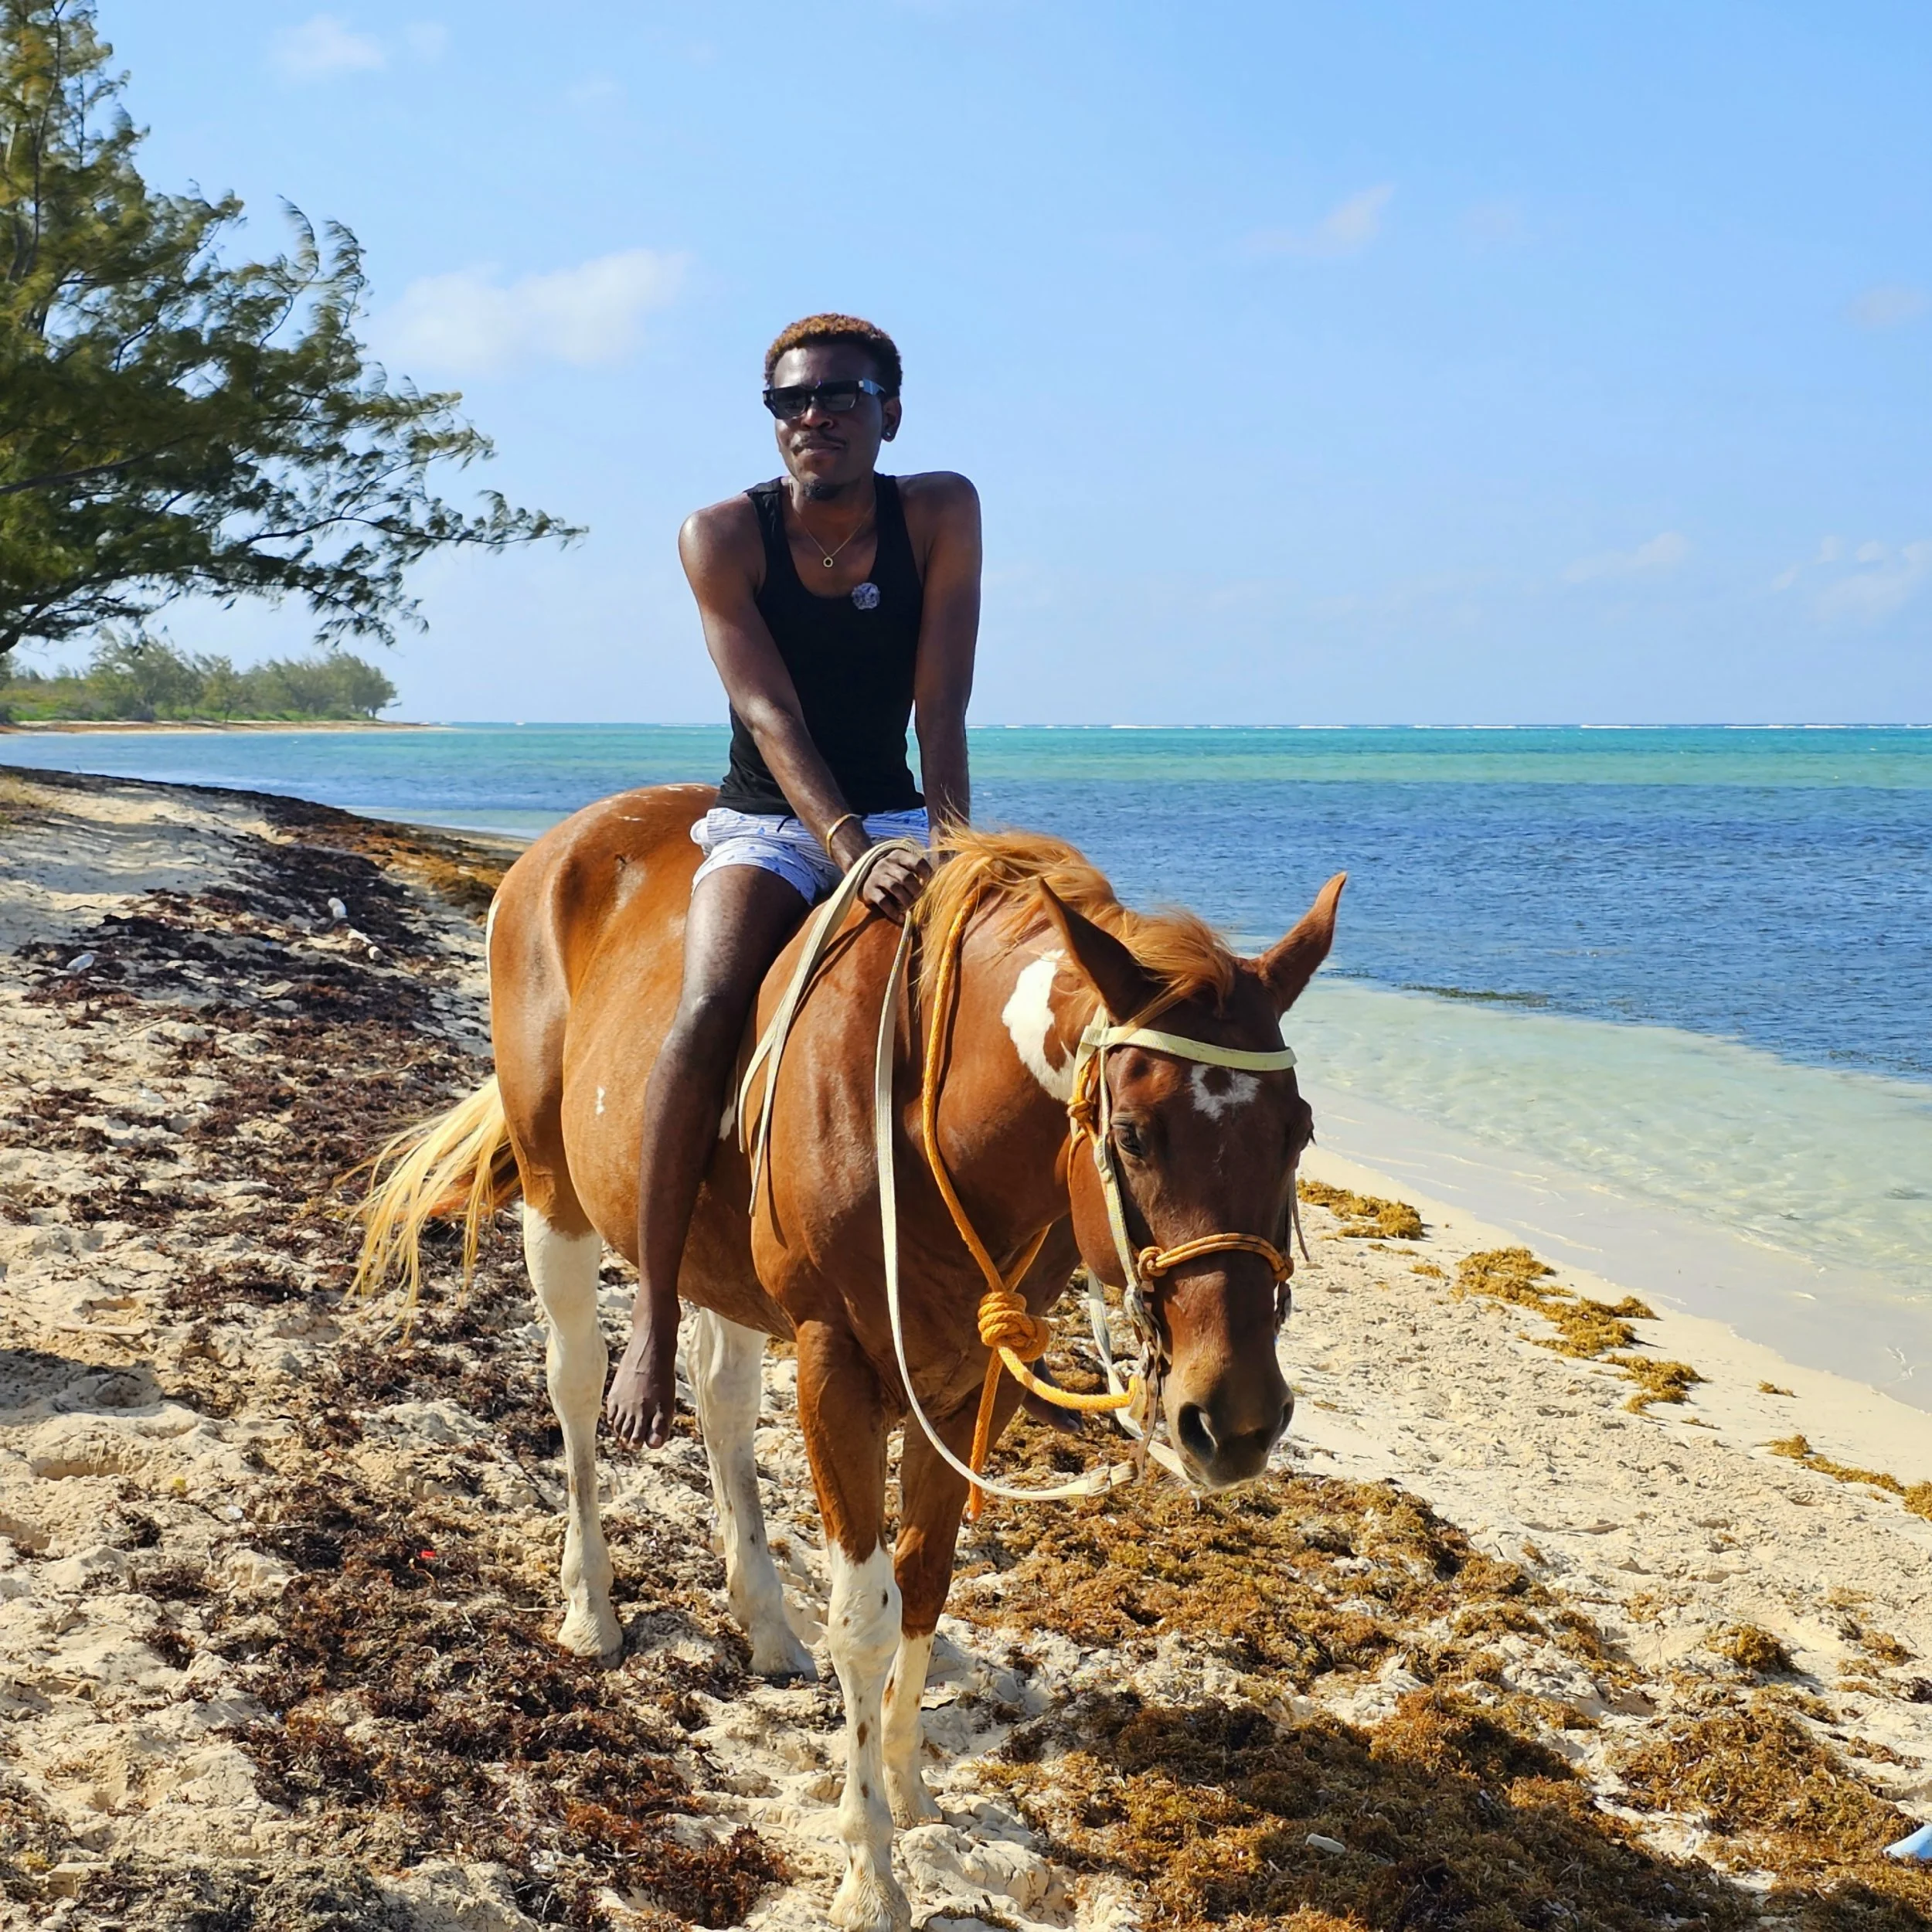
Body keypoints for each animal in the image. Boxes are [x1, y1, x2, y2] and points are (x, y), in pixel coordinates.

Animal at [356, 783, 1343, 1932]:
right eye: (1135, 1134)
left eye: (1299, 1133)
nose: (1234, 1419)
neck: (933, 1116)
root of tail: (556, 849)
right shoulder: (838, 1369)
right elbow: (865, 1620)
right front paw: (870, 1868)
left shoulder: (968, 1385)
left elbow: (925, 1582)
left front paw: (910, 1789)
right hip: (556, 1196)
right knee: (573, 1387)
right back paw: (591, 1605)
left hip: (720, 1271)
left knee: (723, 1404)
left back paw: (762, 1619)